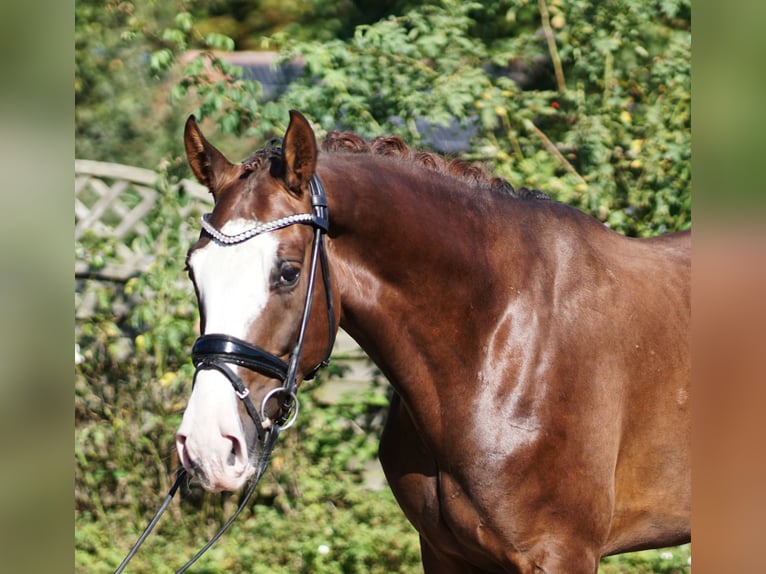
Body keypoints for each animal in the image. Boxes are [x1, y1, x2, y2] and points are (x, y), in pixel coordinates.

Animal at [177, 110, 692, 572]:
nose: (207, 446)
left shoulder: (560, 554)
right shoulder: (445, 553)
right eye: (193, 270)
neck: (498, 339)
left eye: (287, 272)